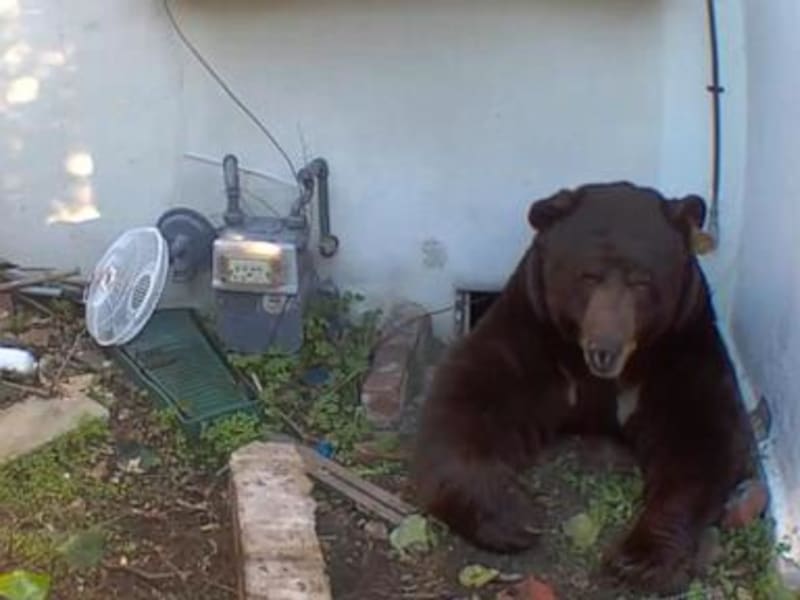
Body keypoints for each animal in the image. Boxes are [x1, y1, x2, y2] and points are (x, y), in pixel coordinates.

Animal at [412, 181, 754, 594]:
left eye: (642, 281)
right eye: (588, 276)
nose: (604, 348)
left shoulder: (681, 348)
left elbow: (702, 439)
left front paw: (639, 559)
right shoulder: (530, 335)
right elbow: (467, 402)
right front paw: (514, 517)